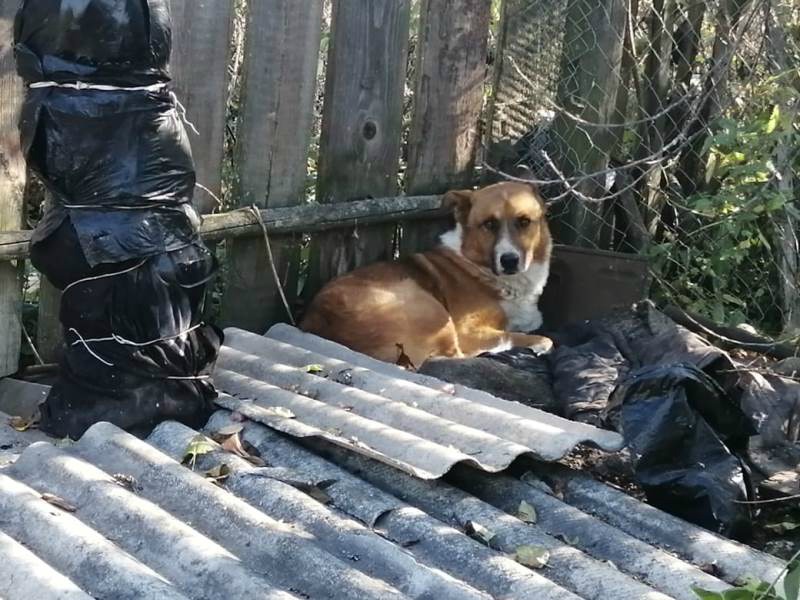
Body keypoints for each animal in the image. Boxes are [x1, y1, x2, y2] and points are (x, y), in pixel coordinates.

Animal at [300, 181, 553, 367]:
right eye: (489, 224)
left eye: (524, 222)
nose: (509, 260)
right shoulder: (468, 332)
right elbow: (520, 336)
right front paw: (537, 343)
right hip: (432, 310)